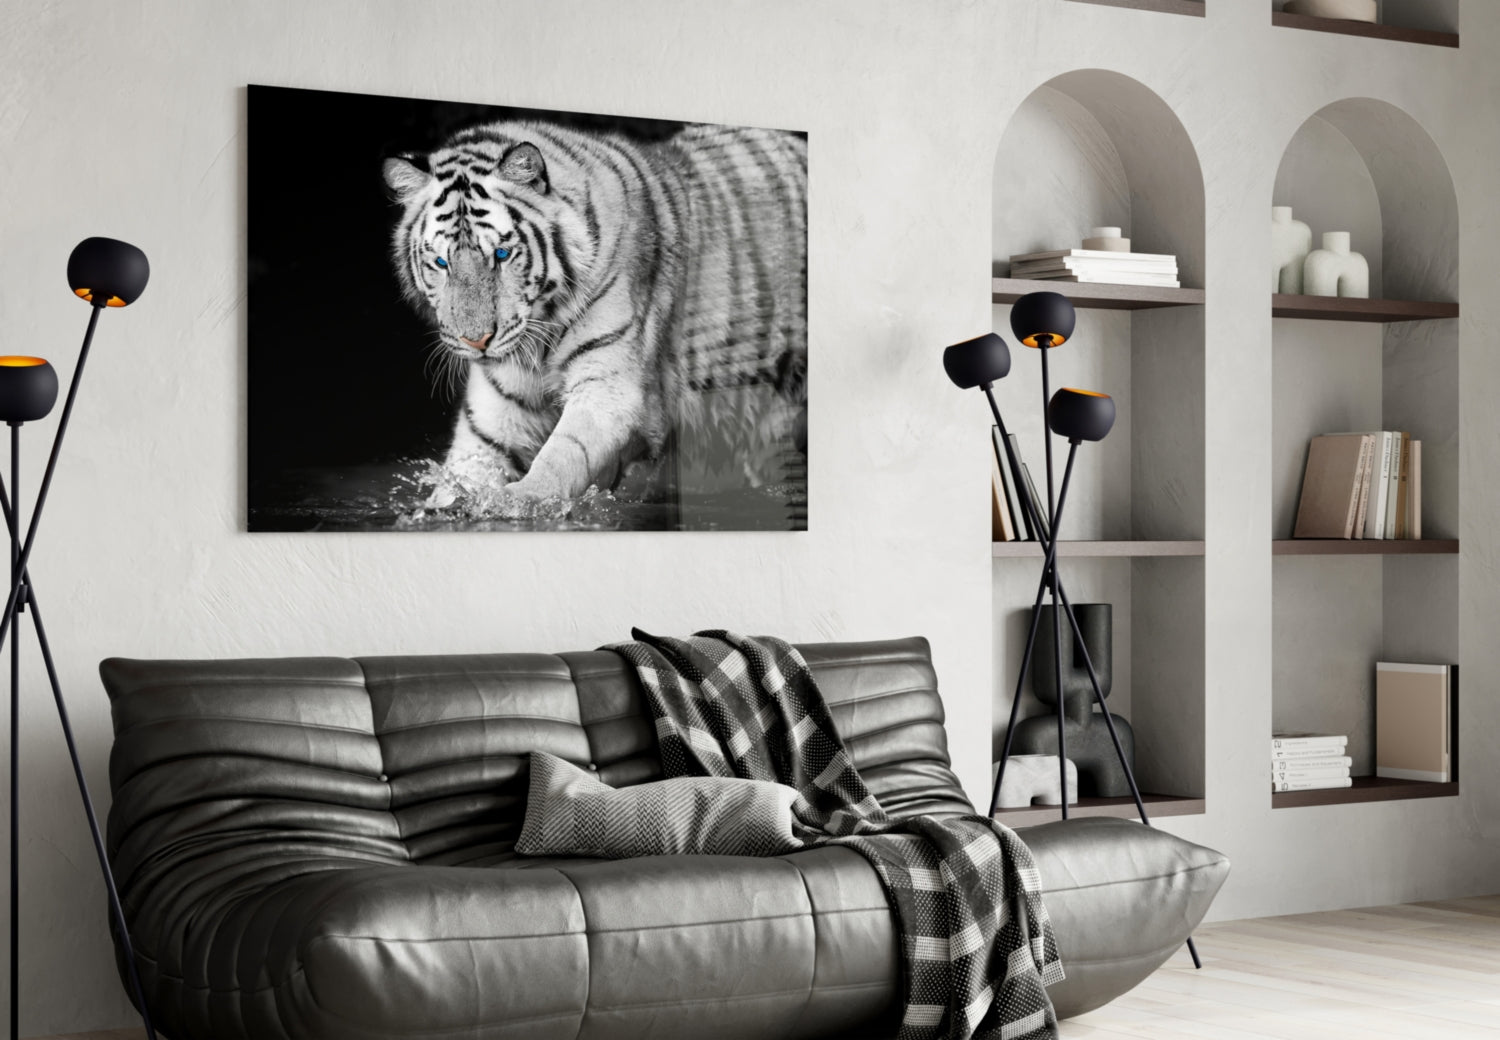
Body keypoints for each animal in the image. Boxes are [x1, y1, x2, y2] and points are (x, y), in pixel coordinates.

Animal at [383, 117, 807, 514]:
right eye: (441, 263)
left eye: (501, 255)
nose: (477, 341)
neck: (539, 338)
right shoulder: (494, 413)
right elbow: (464, 470)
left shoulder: (609, 387)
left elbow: (563, 454)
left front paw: (520, 500)